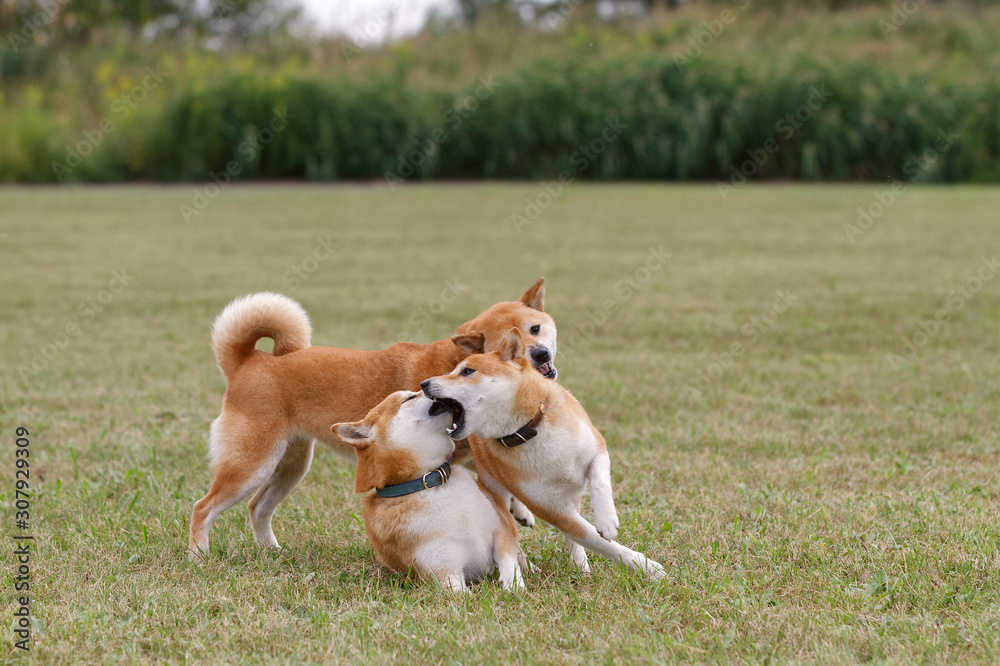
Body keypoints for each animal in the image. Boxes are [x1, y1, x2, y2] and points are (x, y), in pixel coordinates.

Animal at [191, 278, 560, 556]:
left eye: (535, 328)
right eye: (507, 345)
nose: (541, 355)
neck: (458, 365)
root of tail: (247, 361)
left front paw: (520, 510)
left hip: (290, 466)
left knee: (257, 507)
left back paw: (271, 552)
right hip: (252, 464)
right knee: (203, 507)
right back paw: (199, 556)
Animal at [332, 390, 528, 592]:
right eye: (409, 398)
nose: (424, 386)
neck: (433, 484)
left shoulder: (500, 531)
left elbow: (509, 563)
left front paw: (514, 588)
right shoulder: (445, 574)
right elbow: (464, 594)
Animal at [420, 328, 664, 580]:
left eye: (467, 371)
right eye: (451, 371)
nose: (424, 384)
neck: (529, 429)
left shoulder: (596, 447)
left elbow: (600, 483)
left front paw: (606, 520)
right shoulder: (551, 509)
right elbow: (596, 541)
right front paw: (644, 566)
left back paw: (579, 563)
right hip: (493, 485)